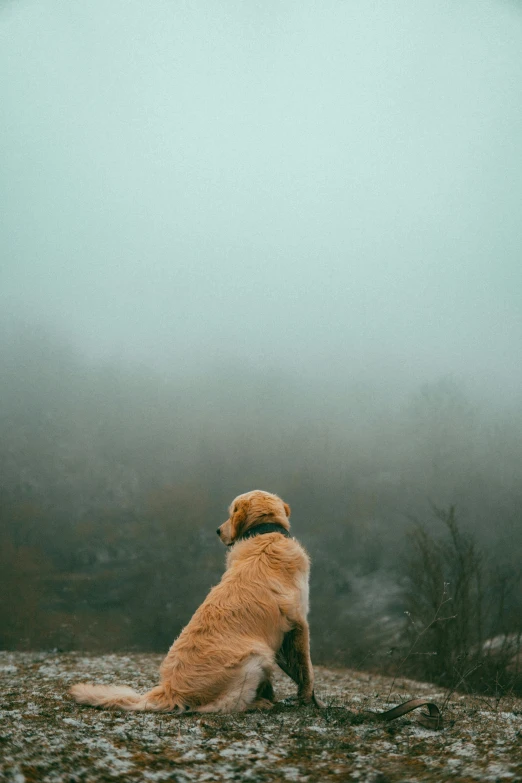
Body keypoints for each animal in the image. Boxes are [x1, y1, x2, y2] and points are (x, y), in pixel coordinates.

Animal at [70, 494, 320, 712]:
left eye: (230, 513)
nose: (218, 530)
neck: (265, 534)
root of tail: (170, 690)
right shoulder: (298, 622)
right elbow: (305, 669)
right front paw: (307, 699)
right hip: (256, 657)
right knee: (222, 706)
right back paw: (258, 704)